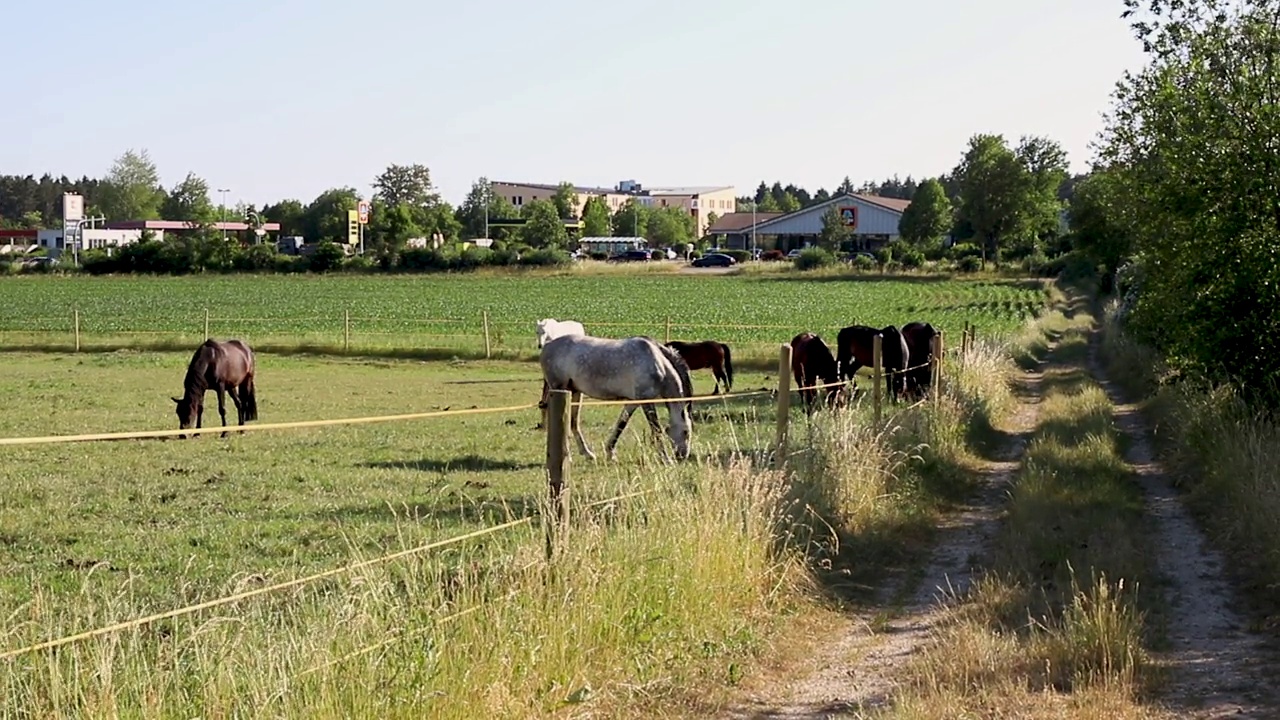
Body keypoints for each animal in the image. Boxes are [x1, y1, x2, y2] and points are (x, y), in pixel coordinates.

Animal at [542, 333, 696, 458]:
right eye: (686, 432)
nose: (682, 456)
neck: (657, 362)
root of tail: (547, 345)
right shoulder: (646, 400)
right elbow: (656, 429)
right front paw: (665, 457)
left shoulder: (633, 402)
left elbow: (621, 424)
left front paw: (610, 452)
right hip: (560, 389)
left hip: (575, 392)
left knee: (573, 422)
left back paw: (587, 454)